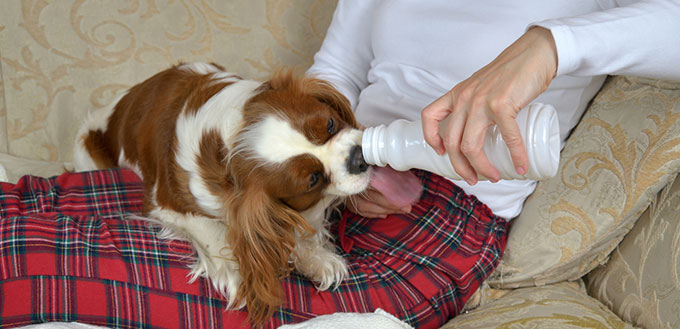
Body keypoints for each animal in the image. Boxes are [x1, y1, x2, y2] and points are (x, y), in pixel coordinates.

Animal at [73, 61, 372, 322]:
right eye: (313, 179)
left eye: (331, 124)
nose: (360, 158)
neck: (232, 139)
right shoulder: (165, 202)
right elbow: (214, 228)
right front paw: (237, 272)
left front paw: (314, 257)